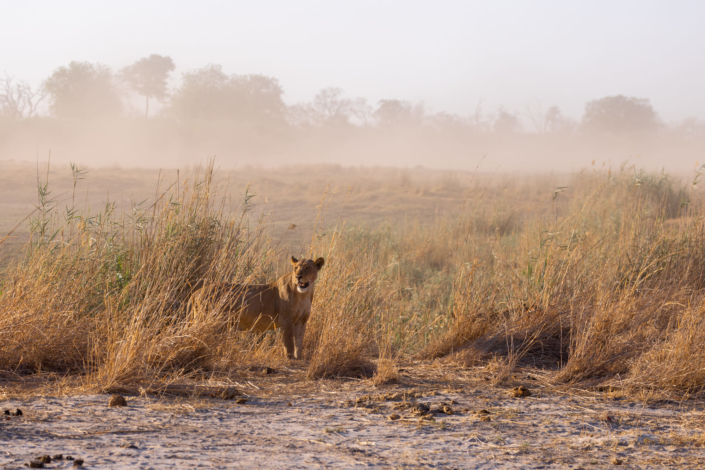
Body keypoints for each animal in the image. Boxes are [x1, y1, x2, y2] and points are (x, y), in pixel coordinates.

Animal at [190, 258, 328, 360]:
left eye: (307, 268)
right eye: (296, 268)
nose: (298, 277)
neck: (303, 295)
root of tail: (196, 292)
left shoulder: (302, 321)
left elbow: (299, 342)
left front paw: (298, 358)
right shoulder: (286, 320)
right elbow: (289, 342)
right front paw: (290, 359)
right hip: (210, 321)